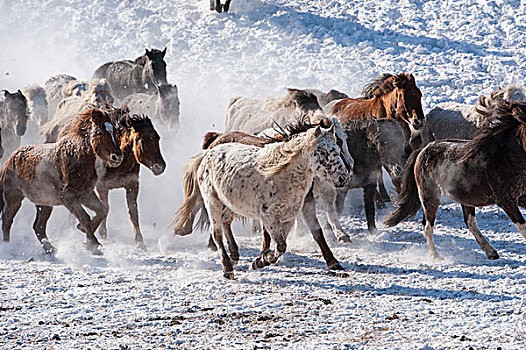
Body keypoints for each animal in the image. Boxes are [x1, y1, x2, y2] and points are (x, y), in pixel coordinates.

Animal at [0, 108, 124, 253]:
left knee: (38, 226)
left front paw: (85, 234)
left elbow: (103, 210)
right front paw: (93, 243)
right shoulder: (68, 197)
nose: (117, 157)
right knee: (7, 220)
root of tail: (8, 162)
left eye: (114, 131)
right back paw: (8, 246)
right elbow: (84, 217)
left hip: (44, 203)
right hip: (14, 199)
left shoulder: (85, 194)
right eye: (100, 132)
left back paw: (50, 249)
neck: (76, 156)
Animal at [96, 113, 167, 249]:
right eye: (142, 140)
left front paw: (140, 241)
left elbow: (133, 211)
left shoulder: (132, 185)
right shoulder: (101, 187)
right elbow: (104, 208)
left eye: (158, 137)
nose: (160, 167)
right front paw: (103, 235)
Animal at [175, 123, 352, 278]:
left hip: (232, 205)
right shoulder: (269, 217)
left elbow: (286, 243)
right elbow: (279, 244)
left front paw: (260, 260)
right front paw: (262, 260)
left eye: (337, 148)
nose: (343, 178)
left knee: (225, 222)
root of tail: (208, 152)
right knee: (216, 232)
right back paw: (227, 268)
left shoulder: (288, 217)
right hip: (213, 202)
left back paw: (234, 257)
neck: (282, 176)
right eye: (322, 151)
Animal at [384, 100, 526, 260]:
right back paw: (435, 256)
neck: (507, 158)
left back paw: (491, 252)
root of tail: (422, 151)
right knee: (427, 225)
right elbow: (523, 226)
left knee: (469, 222)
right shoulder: (506, 201)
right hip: (430, 195)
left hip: (465, 198)